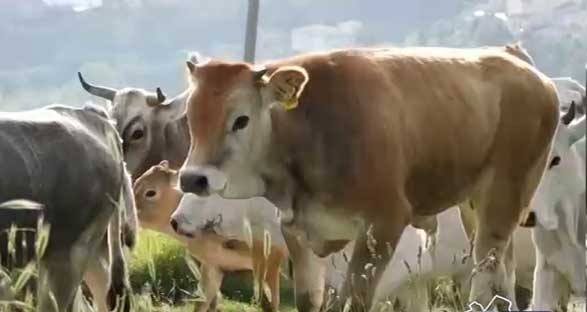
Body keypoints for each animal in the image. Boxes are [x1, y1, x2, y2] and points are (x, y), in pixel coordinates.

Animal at [178, 46, 560, 310]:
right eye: (191, 117)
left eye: (241, 119)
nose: (193, 179)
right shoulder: (297, 231)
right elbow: (309, 300)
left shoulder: (384, 224)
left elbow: (354, 300)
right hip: (475, 207)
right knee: (502, 278)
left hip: (503, 199)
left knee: (487, 276)